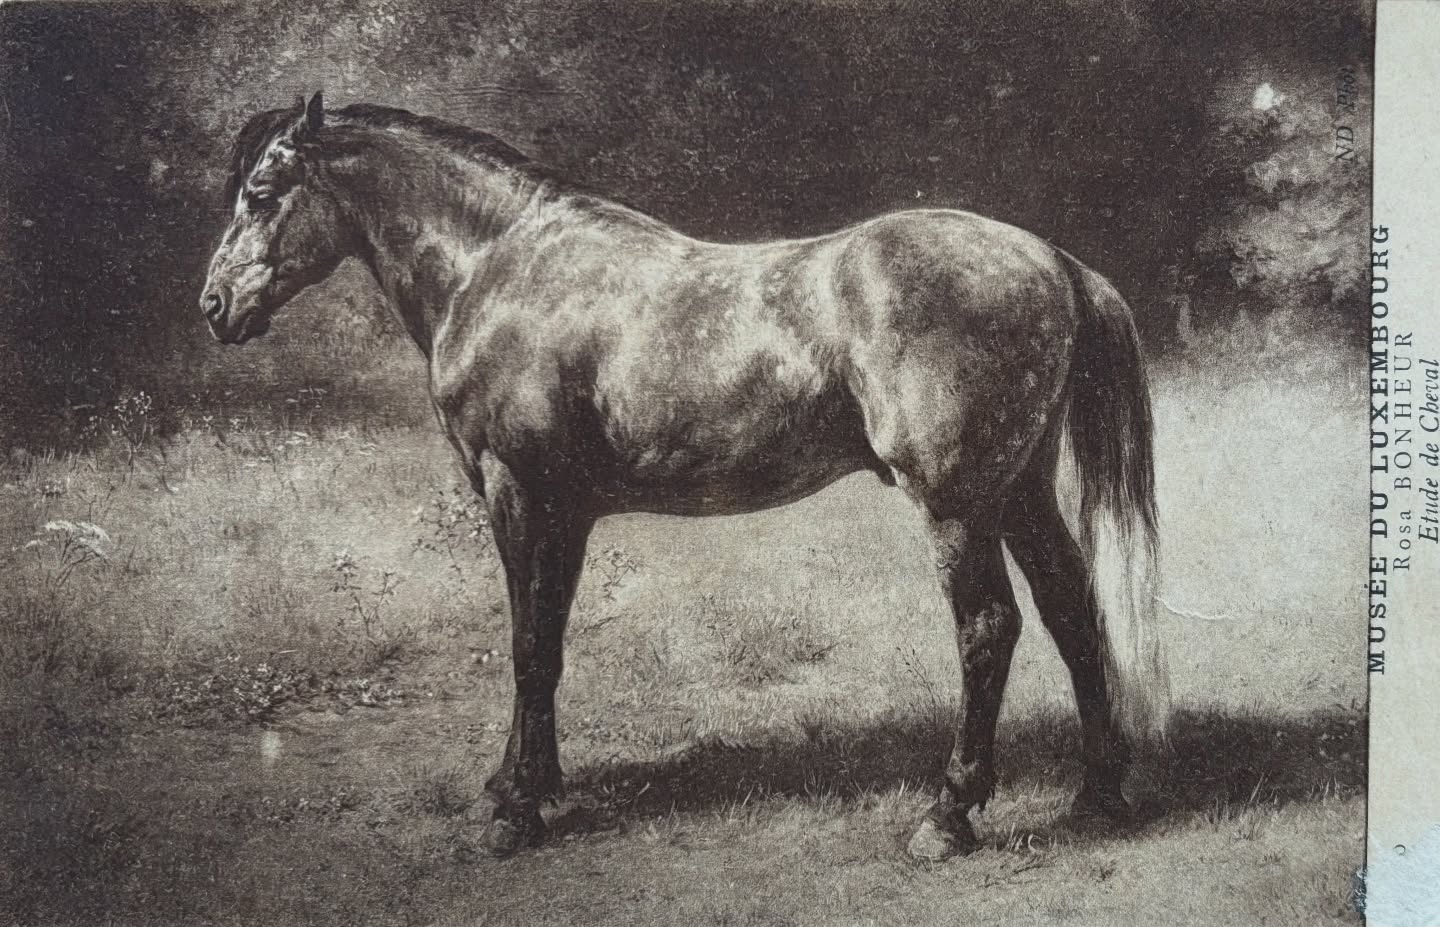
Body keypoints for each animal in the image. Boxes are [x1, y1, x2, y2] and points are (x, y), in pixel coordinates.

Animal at [200, 93, 1168, 860]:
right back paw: (1098, 792)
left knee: (989, 628)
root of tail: (1053, 261)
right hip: (1019, 490)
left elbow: (524, 643)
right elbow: (549, 641)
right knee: (1072, 607)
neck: (500, 266)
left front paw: (514, 812)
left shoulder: (517, 491)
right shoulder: (568, 511)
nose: (215, 306)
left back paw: (948, 815)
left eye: (262, 193)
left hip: (960, 502)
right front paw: (531, 783)